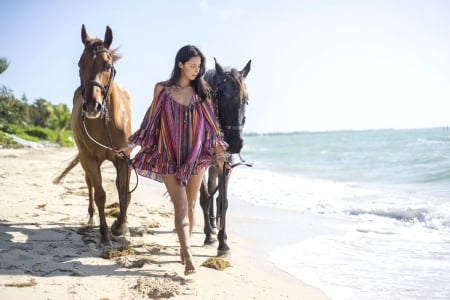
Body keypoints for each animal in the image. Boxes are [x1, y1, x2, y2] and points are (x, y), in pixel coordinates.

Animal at [53, 24, 132, 245]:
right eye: (80, 64)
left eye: (107, 65)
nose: (91, 106)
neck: (105, 121)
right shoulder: (89, 159)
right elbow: (100, 195)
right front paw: (104, 233)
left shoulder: (123, 158)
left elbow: (123, 192)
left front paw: (120, 226)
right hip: (85, 160)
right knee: (89, 184)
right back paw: (91, 217)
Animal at [200, 58, 250, 255]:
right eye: (221, 95)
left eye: (246, 100)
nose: (235, 143)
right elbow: (204, 198)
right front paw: (208, 236)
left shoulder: (226, 166)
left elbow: (223, 201)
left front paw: (223, 242)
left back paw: (214, 225)